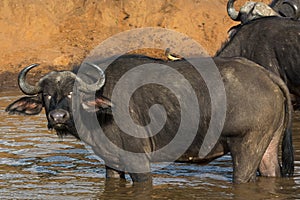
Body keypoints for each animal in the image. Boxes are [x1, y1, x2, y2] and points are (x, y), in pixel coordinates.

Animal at [5, 55, 294, 184]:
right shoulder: (112, 164)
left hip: (246, 147)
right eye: (46, 95)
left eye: (71, 93)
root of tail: (265, 74)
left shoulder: (139, 163)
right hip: (268, 146)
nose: (58, 117)